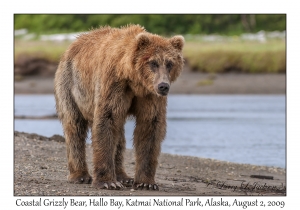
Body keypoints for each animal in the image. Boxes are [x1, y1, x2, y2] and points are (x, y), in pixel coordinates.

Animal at [54, 24, 185, 190]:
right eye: (153, 63)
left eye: (170, 63)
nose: (163, 86)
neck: (134, 80)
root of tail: (71, 46)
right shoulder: (113, 83)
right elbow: (107, 119)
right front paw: (107, 182)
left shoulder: (150, 95)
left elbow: (150, 126)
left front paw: (146, 182)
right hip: (70, 85)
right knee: (74, 126)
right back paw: (80, 176)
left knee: (119, 134)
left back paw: (123, 177)